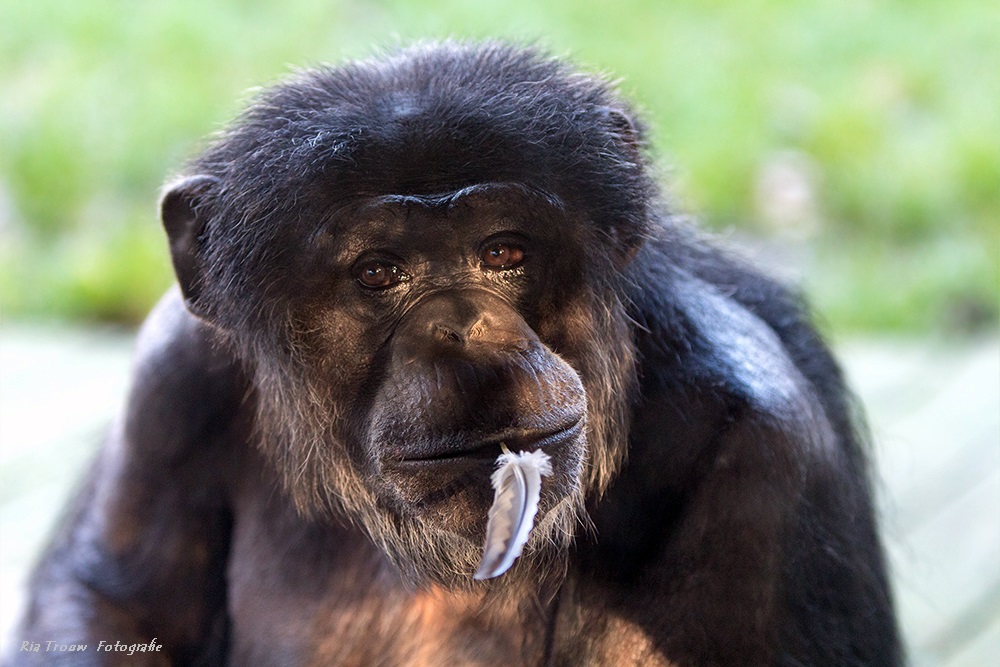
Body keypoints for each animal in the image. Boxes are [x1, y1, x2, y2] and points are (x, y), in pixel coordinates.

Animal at [7, 41, 904, 667]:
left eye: (503, 251)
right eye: (378, 271)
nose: (465, 324)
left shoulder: (763, 454)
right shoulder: (172, 373)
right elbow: (113, 604)